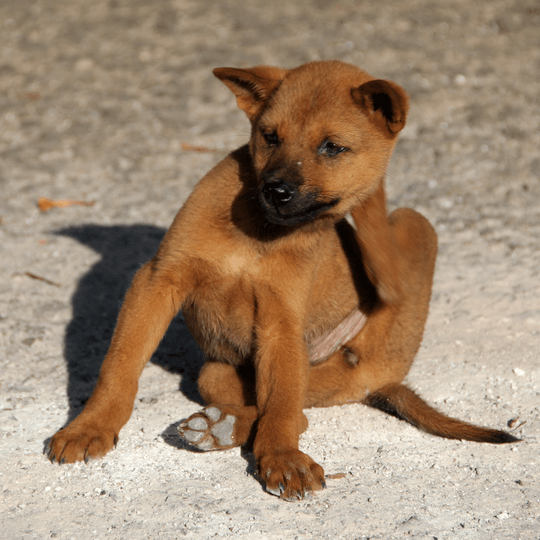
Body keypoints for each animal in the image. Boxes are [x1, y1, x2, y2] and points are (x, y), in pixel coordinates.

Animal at [47, 62, 520, 502]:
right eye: (270, 137)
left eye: (333, 147)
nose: (276, 191)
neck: (259, 233)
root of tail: (383, 380)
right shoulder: (157, 280)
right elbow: (119, 366)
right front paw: (90, 426)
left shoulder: (280, 322)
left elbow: (280, 408)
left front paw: (282, 459)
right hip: (216, 372)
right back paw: (219, 425)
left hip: (410, 227)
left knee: (296, 411)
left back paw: (222, 428)